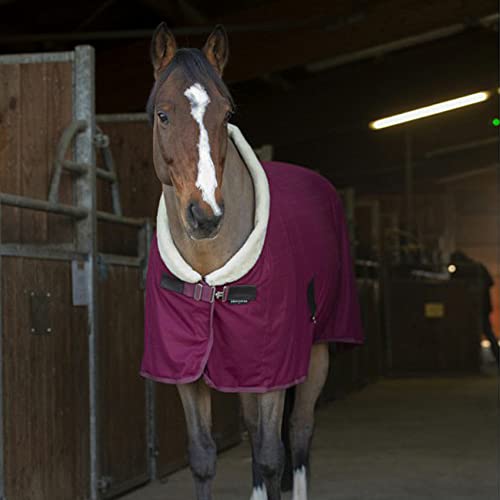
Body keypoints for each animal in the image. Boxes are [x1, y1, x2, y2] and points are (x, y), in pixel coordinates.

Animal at [142, 21, 364, 498]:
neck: (209, 276)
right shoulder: (188, 372)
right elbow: (203, 457)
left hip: (316, 352)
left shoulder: (272, 370)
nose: (205, 215)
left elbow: (269, 454)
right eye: (163, 115)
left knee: (298, 431)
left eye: (226, 115)